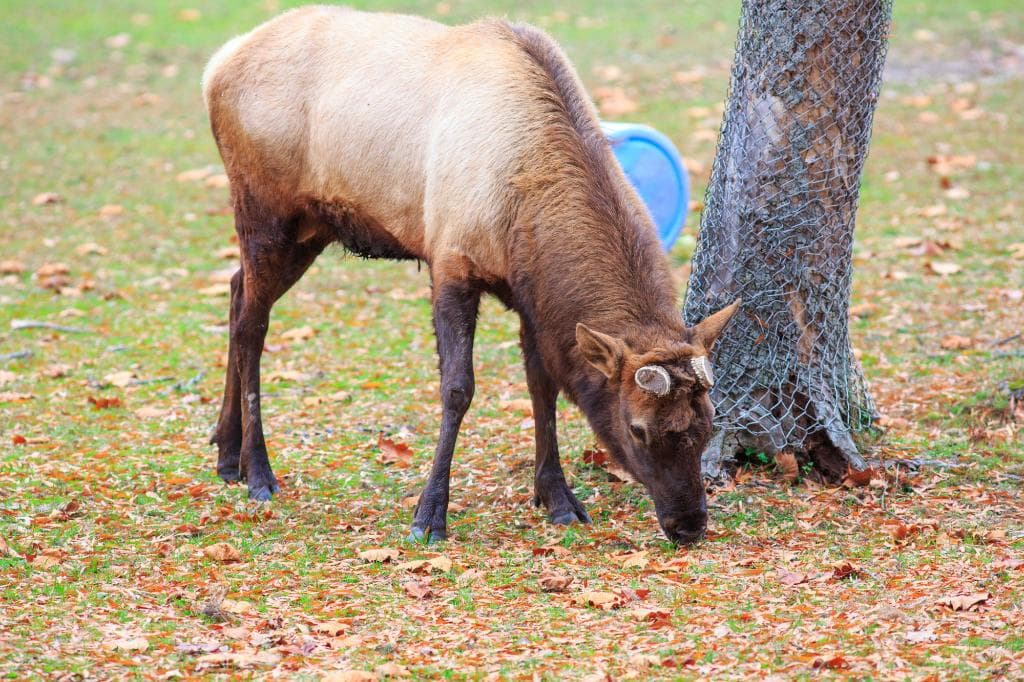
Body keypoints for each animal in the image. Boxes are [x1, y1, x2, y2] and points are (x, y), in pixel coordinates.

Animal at [202, 6, 740, 544]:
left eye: (709, 421)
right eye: (637, 428)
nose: (689, 524)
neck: (523, 210)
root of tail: (217, 65)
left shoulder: (530, 297)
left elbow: (542, 386)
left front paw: (557, 498)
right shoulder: (451, 262)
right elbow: (458, 389)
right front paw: (429, 514)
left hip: (311, 230)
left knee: (235, 289)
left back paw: (226, 454)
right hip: (264, 212)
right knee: (252, 325)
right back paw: (258, 471)